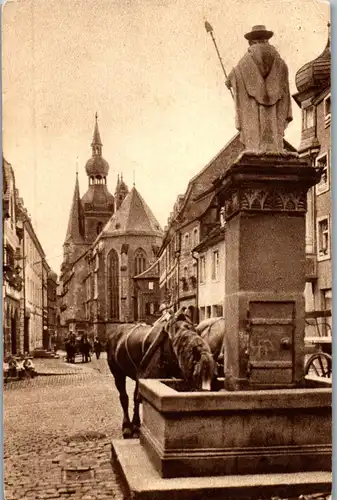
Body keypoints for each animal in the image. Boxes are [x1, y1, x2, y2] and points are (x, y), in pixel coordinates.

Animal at [106, 308, 214, 438]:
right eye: (196, 375)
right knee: (124, 397)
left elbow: (138, 397)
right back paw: (127, 427)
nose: (205, 394)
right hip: (117, 373)